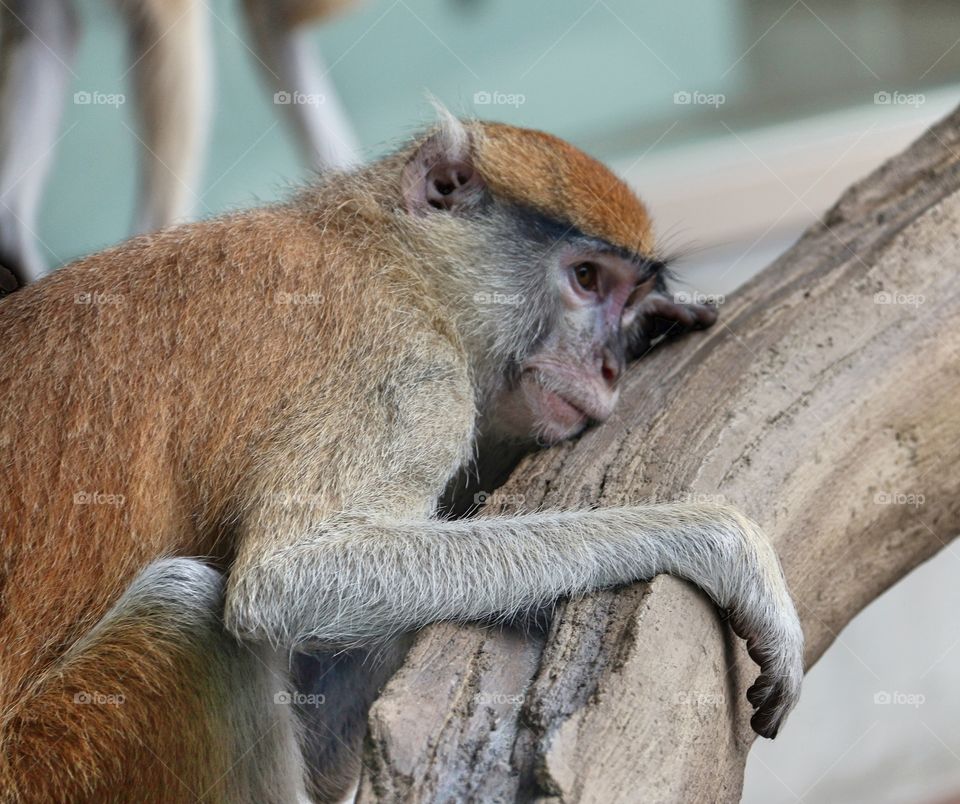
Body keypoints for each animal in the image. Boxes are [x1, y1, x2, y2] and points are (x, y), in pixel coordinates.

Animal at [0, 113, 804, 803]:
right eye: (585, 279)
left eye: (630, 300)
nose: (607, 367)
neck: (386, 248)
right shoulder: (406, 368)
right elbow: (288, 580)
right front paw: (718, 543)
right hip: (58, 755)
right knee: (187, 612)